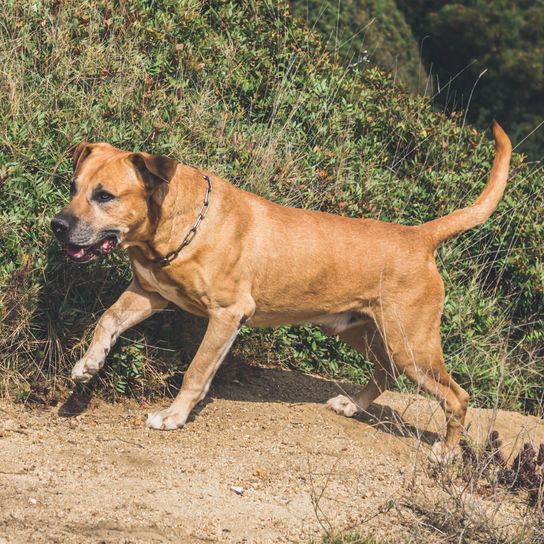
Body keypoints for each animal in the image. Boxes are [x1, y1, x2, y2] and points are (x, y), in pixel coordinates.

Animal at [50, 121, 510, 452]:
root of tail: (419, 236)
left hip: (412, 344)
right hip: (361, 331)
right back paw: (353, 406)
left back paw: (445, 453)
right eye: (73, 187)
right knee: (385, 371)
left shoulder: (227, 315)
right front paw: (89, 364)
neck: (177, 225)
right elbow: (107, 320)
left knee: (456, 396)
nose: (57, 225)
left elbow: (196, 371)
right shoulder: (150, 293)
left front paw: (174, 416)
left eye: (105, 195)